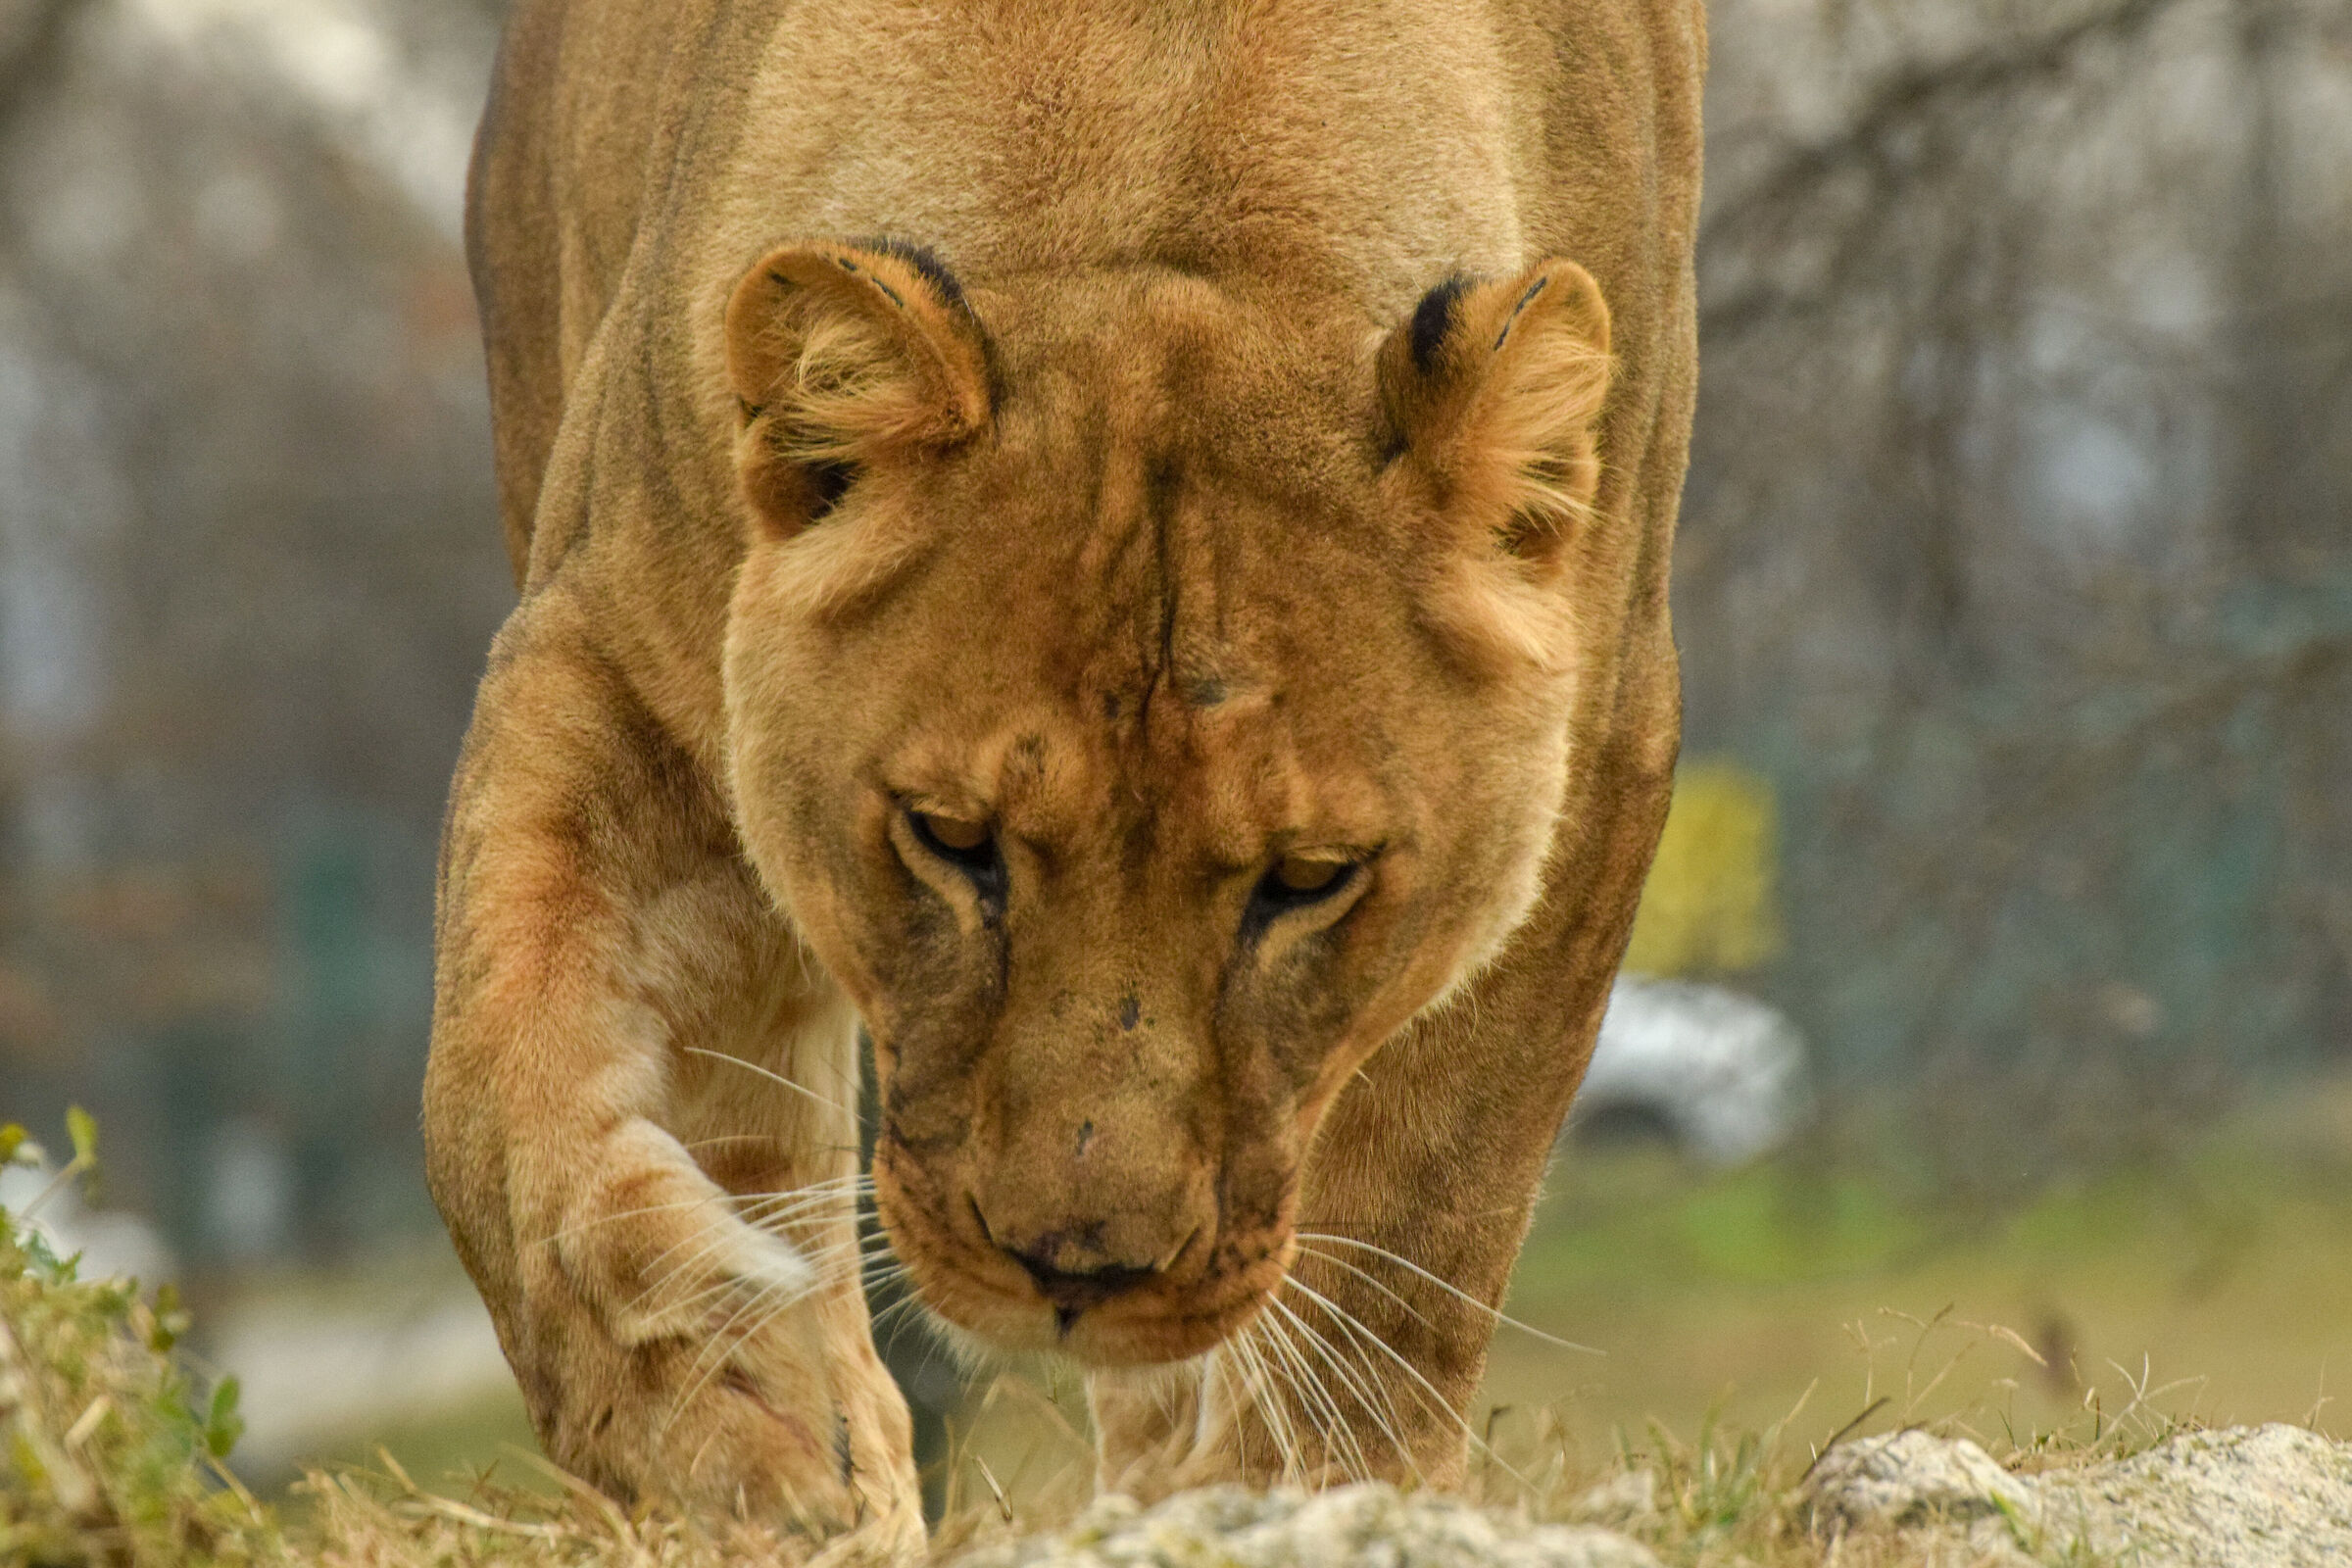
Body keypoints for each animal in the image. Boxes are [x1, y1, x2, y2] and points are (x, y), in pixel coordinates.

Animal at [427, 0, 1702, 1553]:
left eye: (1310, 880)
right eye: (949, 837)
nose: (1077, 1274)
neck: (1177, 156)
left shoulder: (1602, 743)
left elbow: (1416, 1234)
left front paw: (1305, 1503)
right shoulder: (603, 641)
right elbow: (495, 1106)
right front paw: (732, 1412)